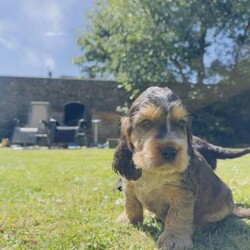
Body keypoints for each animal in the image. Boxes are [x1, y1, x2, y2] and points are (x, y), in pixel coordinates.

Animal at [113, 87, 248, 249]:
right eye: (145, 122)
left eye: (181, 123)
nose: (169, 151)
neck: (153, 172)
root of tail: (233, 209)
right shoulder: (129, 185)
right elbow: (131, 204)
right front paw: (128, 220)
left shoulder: (182, 192)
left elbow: (177, 215)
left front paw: (174, 240)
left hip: (222, 205)